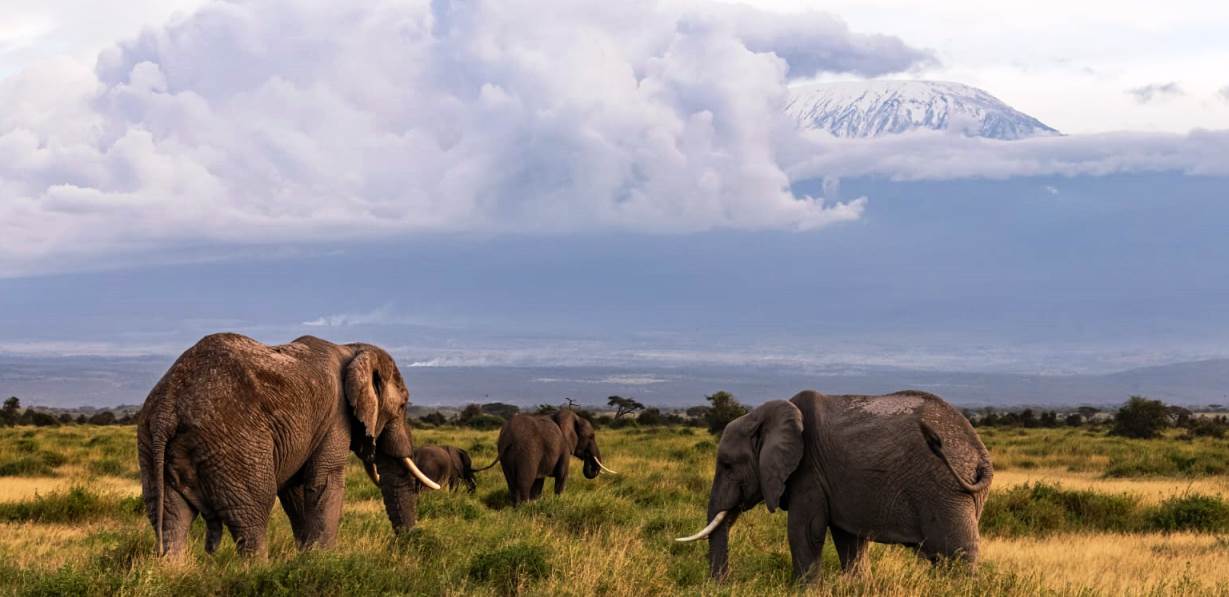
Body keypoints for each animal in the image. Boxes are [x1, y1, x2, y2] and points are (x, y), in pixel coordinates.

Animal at [137, 334, 442, 557]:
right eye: (402, 406)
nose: (407, 546)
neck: (352, 349)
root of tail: (168, 407)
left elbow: (295, 493)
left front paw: (306, 558)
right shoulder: (335, 418)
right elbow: (325, 482)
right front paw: (324, 562)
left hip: (150, 445)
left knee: (171, 521)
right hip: (235, 445)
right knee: (252, 515)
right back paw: (256, 572)